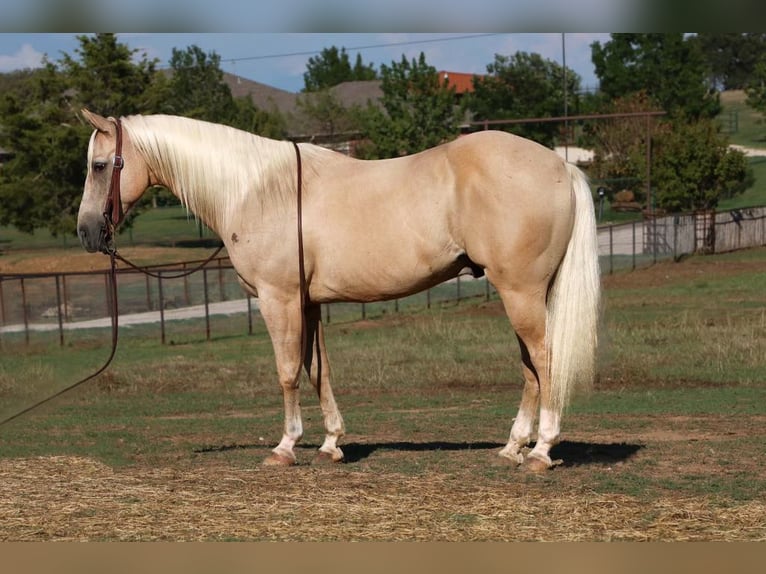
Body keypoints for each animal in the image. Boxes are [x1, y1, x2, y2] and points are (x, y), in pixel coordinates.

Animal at [79, 109, 608, 472]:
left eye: (101, 165)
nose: (86, 233)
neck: (257, 191)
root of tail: (560, 166)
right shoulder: (309, 303)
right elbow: (319, 371)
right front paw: (332, 443)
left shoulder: (278, 299)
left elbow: (287, 371)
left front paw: (286, 447)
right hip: (523, 293)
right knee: (531, 366)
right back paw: (513, 446)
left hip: (521, 291)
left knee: (544, 358)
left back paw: (541, 450)